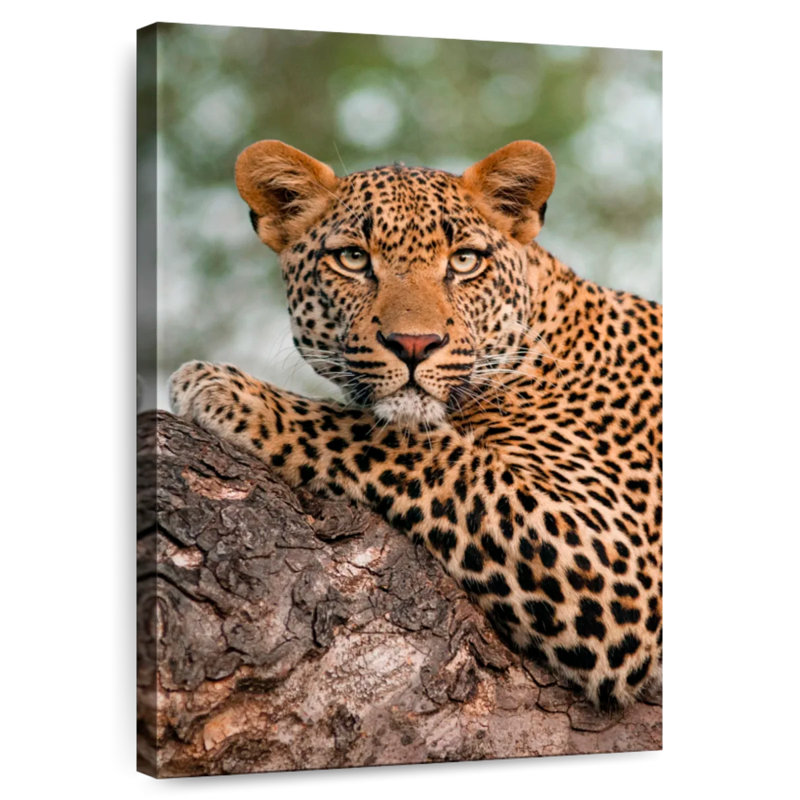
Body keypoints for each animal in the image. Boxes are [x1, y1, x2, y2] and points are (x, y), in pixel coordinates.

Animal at [169, 139, 663, 710]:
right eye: (353, 258)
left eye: (465, 261)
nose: (414, 344)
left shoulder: (616, 562)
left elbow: (401, 443)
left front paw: (233, 392)